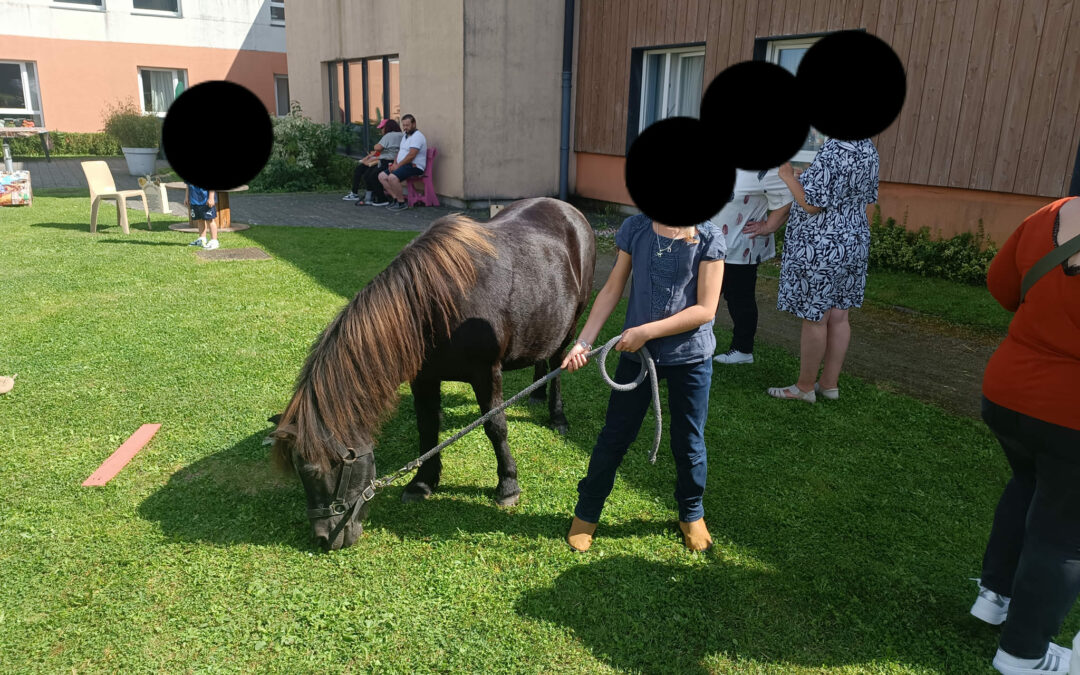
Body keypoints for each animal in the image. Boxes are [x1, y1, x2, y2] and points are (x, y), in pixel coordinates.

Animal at [267, 196, 591, 548]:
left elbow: (495, 427)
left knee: (558, 363)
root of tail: (566, 209)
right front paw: (422, 483)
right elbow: (427, 427)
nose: (325, 538)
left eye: (315, 472)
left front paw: (508, 485)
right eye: (298, 471)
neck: (434, 307)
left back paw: (557, 416)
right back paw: (536, 393)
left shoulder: (486, 375)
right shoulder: (423, 378)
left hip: (571, 324)